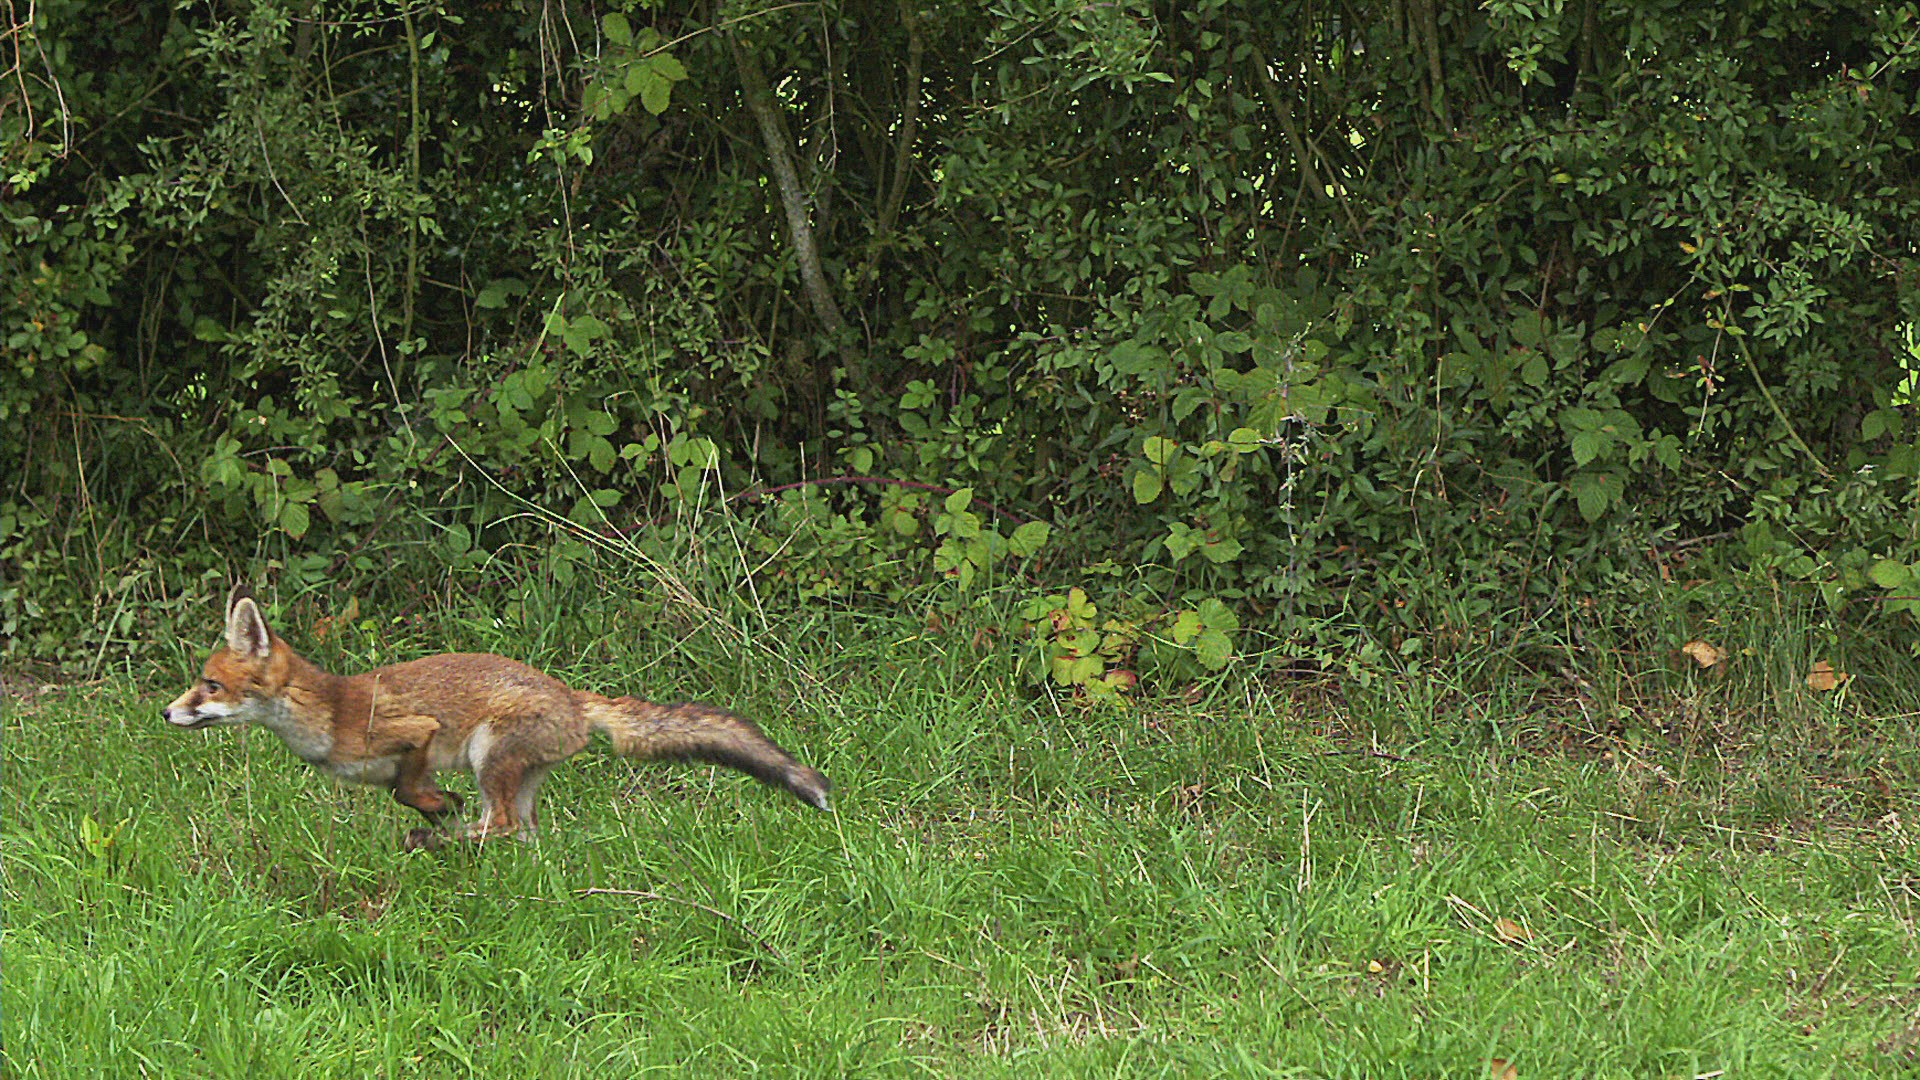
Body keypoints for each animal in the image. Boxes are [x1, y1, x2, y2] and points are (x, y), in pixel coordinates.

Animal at [164, 586, 831, 849]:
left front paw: (435, 811)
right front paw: (437, 810)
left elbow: (408, 789)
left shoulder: (417, 733)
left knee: (503, 825)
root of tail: (573, 695)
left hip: (490, 757)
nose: (168, 711)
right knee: (522, 832)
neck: (328, 714)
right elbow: (407, 791)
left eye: (210, 685)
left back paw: (444, 840)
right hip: (519, 779)